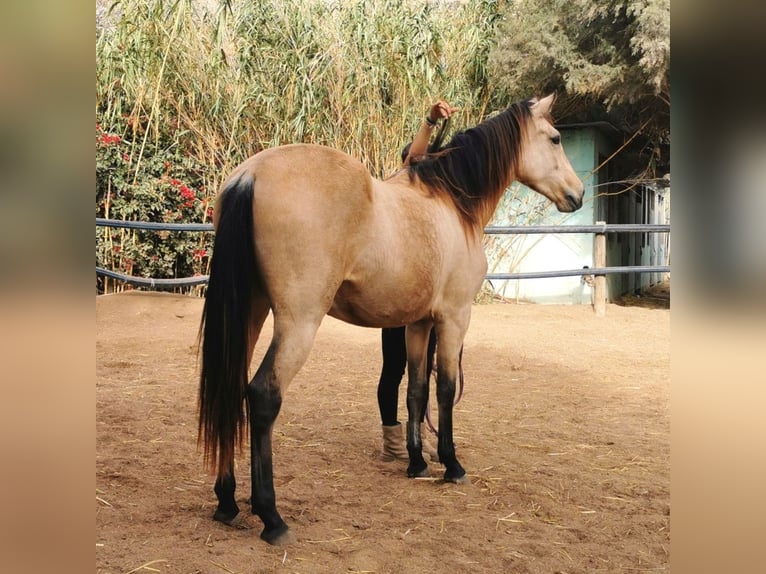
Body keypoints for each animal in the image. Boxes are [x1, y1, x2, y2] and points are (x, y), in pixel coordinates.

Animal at [196, 93, 584, 544]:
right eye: (555, 138)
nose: (578, 194)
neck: (452, 205)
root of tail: (251, 175)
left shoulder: (418, 323)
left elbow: (415, 390)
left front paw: (416, 463)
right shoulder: (454, 318)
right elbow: (445, 390)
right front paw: (451, 465)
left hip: (251, 312)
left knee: (230, 388)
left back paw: (226, 502)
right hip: (298, 322)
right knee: (262, 395)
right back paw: (271, 518)